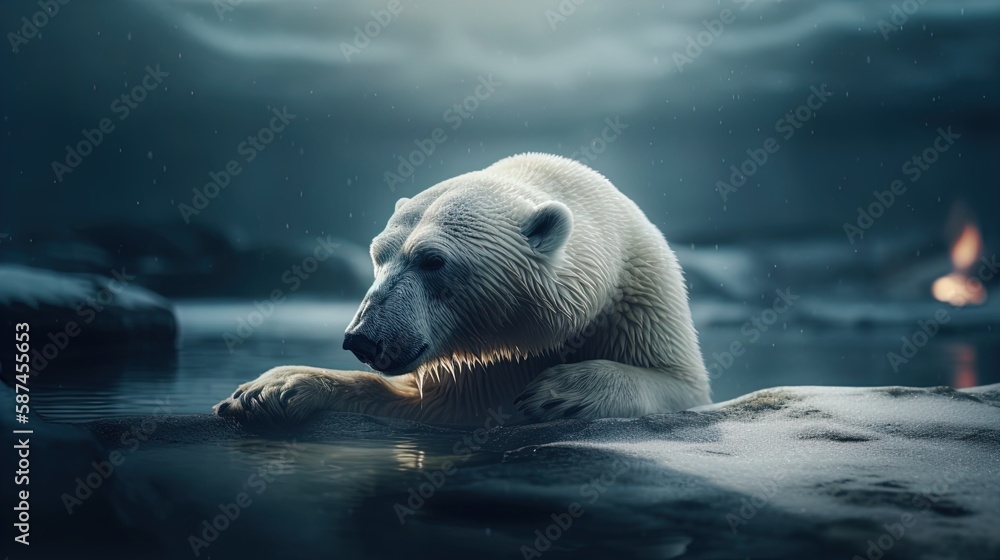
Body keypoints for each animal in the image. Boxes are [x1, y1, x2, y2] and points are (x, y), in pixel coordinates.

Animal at [214, 153, 711, 425]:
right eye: (377, 254)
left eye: (432, 260)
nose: (363, 339)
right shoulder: (474, 367)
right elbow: (428, 408)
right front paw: (265, 390)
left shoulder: (638, 297)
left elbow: (680, 385)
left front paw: (557, 393)